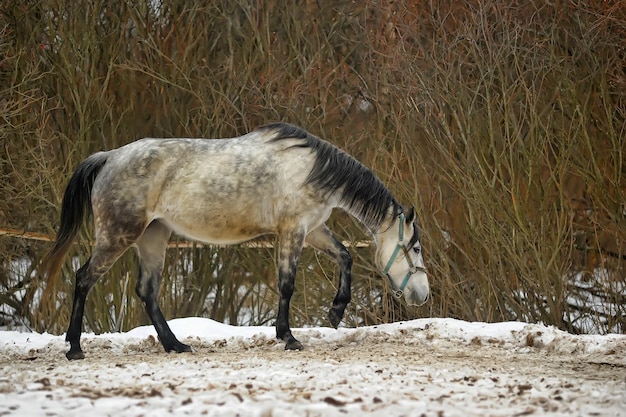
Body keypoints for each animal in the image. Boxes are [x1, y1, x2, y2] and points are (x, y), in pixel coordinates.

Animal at [42, 122, 424, 360]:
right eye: (415, 248)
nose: (423, 295)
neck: (312, 170)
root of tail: (109, 157)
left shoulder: (313, 229)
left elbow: (345, 256)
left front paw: (335, 311)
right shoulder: (293, 231)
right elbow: (287, 284)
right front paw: (288, 337)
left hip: (154, 236)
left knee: (146, 291)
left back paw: (175, 345)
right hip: (118, 235)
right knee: (84, 279)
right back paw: (75, 348)